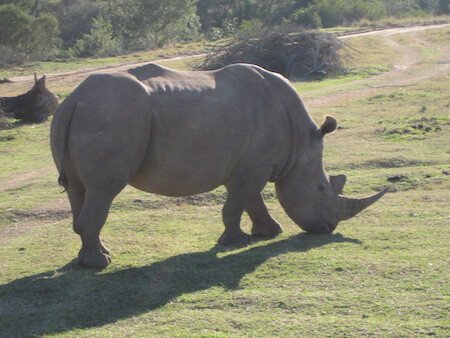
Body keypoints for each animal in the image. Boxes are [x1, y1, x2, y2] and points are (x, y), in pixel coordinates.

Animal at [50, 62, 386, 266]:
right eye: (321, 189)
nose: (329, 228)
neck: (300, 144)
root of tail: (75, 98)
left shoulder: (251, 164)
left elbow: (251, 200)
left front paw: (268, 233)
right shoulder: (255, 167)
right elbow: (238, 202)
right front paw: (234, 242)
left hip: (88, 114)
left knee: (79, 190)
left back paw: (91, 258)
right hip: (113, 115)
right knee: (103, 190)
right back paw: (100, 264)